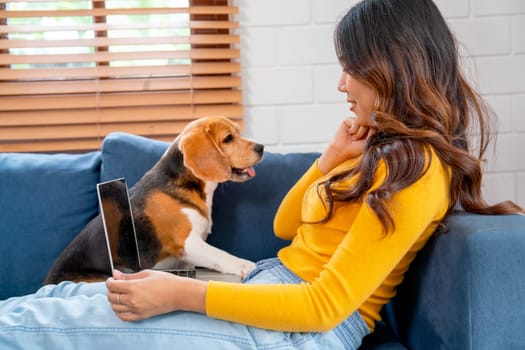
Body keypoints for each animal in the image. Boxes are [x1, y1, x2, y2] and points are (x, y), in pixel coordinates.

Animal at [45, 116, 264, 286]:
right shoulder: (188, 244)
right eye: (228, 138)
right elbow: (220, 254)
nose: (261, 147)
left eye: (238, 132)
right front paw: (244, 264)